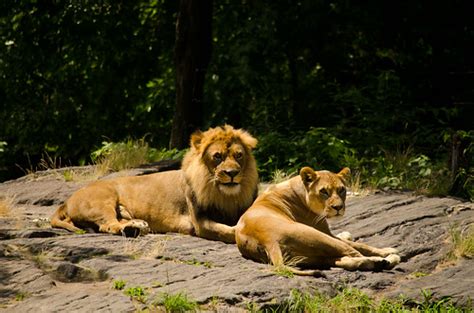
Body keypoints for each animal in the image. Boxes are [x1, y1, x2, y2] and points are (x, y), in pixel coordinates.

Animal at [51, 124, 258, 241]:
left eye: (239, 155)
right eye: (217, 156)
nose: (232, 173)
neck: (225, 195)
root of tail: (67, 201)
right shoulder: (200, 222)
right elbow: (227, 231)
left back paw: (138, 225)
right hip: (103, 201)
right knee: (108, 225)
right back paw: (132, 229)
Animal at [235, 166, 398, 272]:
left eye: (342, 190)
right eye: (324, 191)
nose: (338, 207)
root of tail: (268, 241)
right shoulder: (326, 231)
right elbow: (361, 245)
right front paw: (386, 250)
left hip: (313, 257)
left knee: (344, 260)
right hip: (317, 236)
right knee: (352, 252)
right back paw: (387, 259)